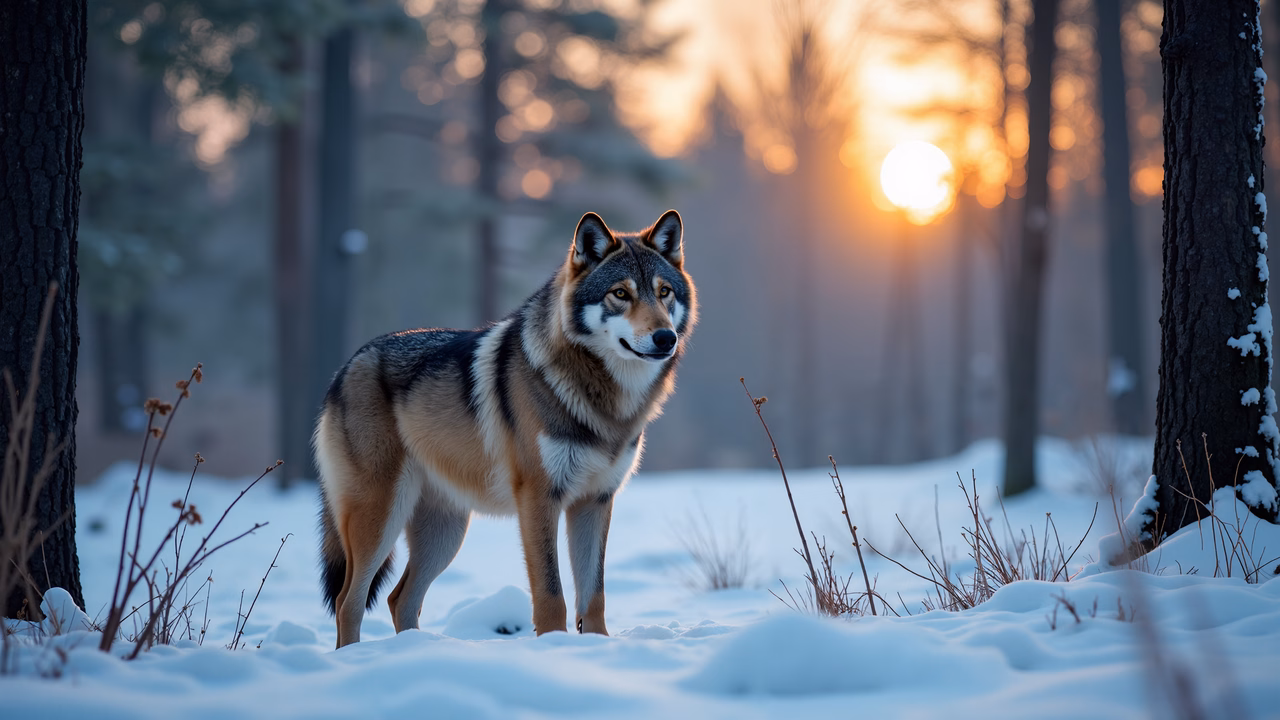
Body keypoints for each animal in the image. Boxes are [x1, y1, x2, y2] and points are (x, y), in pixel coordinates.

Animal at [314, 210, 696, 647]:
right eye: (620, 293)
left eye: (664, 292)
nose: (665, 337)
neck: (604, 402)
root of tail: (346, 366)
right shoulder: (539, 499)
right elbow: (551, 595)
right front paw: (554, 647)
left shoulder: (596, 501)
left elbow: (594, 597)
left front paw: (595, 648)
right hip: (380, 520)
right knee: (348, 601)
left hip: (445, 534)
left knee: (399, 599)